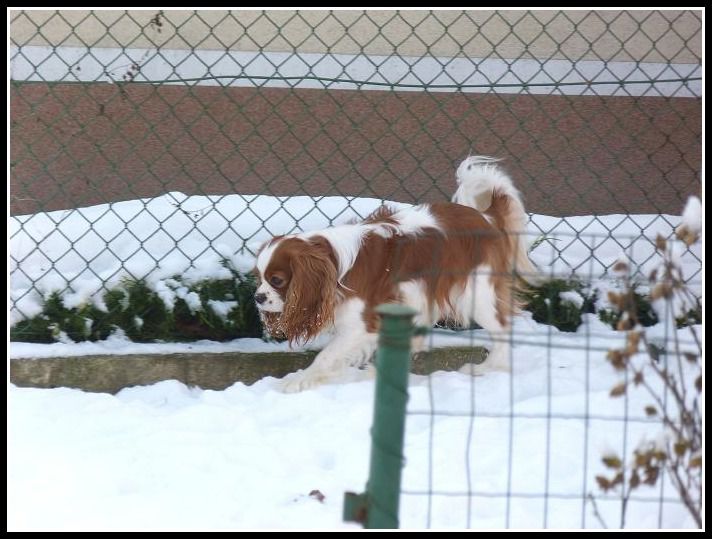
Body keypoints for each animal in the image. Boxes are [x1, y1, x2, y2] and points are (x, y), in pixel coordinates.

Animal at [253, 156, 532, 392]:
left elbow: (325, 356)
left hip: (477, 293)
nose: (257, 297)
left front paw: (298, 381)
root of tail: (486, 217)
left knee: (503, 329)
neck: (334, 264)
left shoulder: (361, 324)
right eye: (259, 277)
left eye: (277, 280)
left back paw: (489, 368)